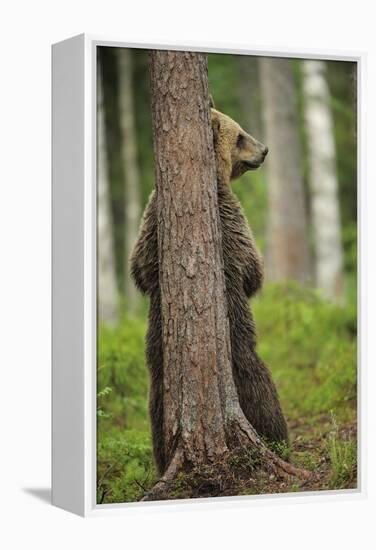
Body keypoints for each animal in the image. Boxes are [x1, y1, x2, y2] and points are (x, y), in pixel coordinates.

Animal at [131, 105, 288, 476]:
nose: (264, 150)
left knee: (156, 411)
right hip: (240, 352)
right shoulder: (229, 215)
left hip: (157, 373)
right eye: (241, 135)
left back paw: (163, 458)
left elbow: (139, 269)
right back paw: (279, 441)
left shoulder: (149, 219)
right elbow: (251, 268)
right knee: (261, 388)